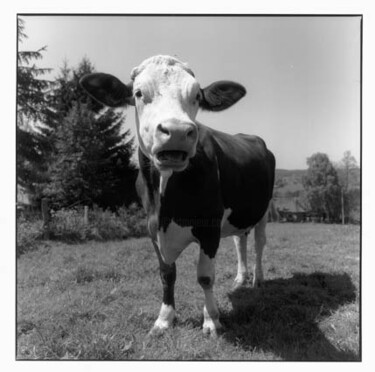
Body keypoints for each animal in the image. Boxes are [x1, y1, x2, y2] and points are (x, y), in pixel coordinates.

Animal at [81, 55, 276, 338]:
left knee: (259, 243)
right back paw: (240, 280)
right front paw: (164, 319)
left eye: (197, 96)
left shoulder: (209, 228)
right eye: (138, 93)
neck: (166, 203)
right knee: (240, 241)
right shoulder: (152, 227)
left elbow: (205, 276)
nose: (176, 132)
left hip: (263, 209)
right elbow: (167, 274)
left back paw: (257, 279)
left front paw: (212, 320)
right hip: (238, 213)